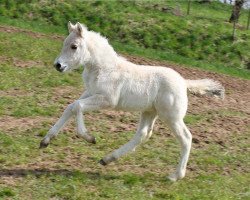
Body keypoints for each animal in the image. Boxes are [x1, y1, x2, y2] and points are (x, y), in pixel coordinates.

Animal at [39, 21, 225, 181]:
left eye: (74, 46)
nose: (58, 65)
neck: (104, 68)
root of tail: (184, 82)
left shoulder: (107, 100)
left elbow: (77, 106)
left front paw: (89, 138)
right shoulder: (90, 92)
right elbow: (71, 107)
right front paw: (46, 140)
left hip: (171, 117)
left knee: (186, 138)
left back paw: (175, 176)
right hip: (149, 112)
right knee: (143, 134)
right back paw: (107, 159)